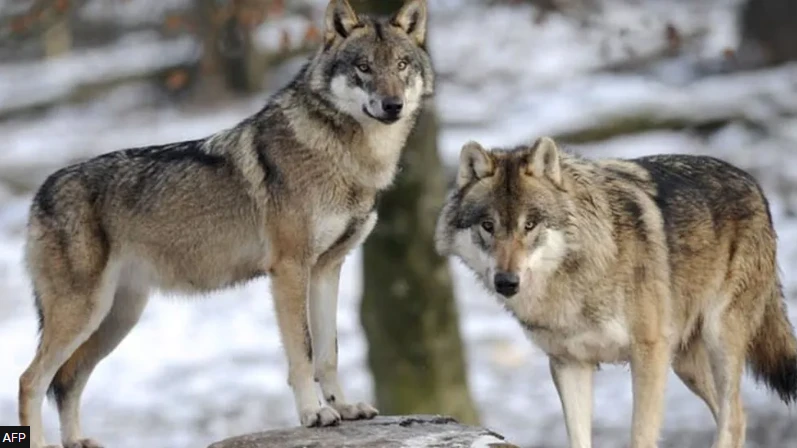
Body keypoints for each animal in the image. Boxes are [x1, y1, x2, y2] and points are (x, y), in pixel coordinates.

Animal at [15, 1, 432, 446]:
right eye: (364, 67)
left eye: (402, 64)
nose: (392, 105)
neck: (348, 159)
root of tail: (40, 192)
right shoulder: (289, 270)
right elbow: (302, 352)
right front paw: (313, 414)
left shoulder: (327, 270)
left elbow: (328, 353)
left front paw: (345, 408)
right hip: (84, 314)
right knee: (31, 380)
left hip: (116, 319)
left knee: (68, 380)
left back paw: (76, 440)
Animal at [436, 137, 796, 448]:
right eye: (487, 226)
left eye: (530, 225)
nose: (506, 282)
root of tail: (752, 182)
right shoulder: (569, 363)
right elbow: (579, 438)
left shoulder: (649, 353)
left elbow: (641, 435)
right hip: (685, 364)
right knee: (737, 413)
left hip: (718, 338)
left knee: (732, 418)